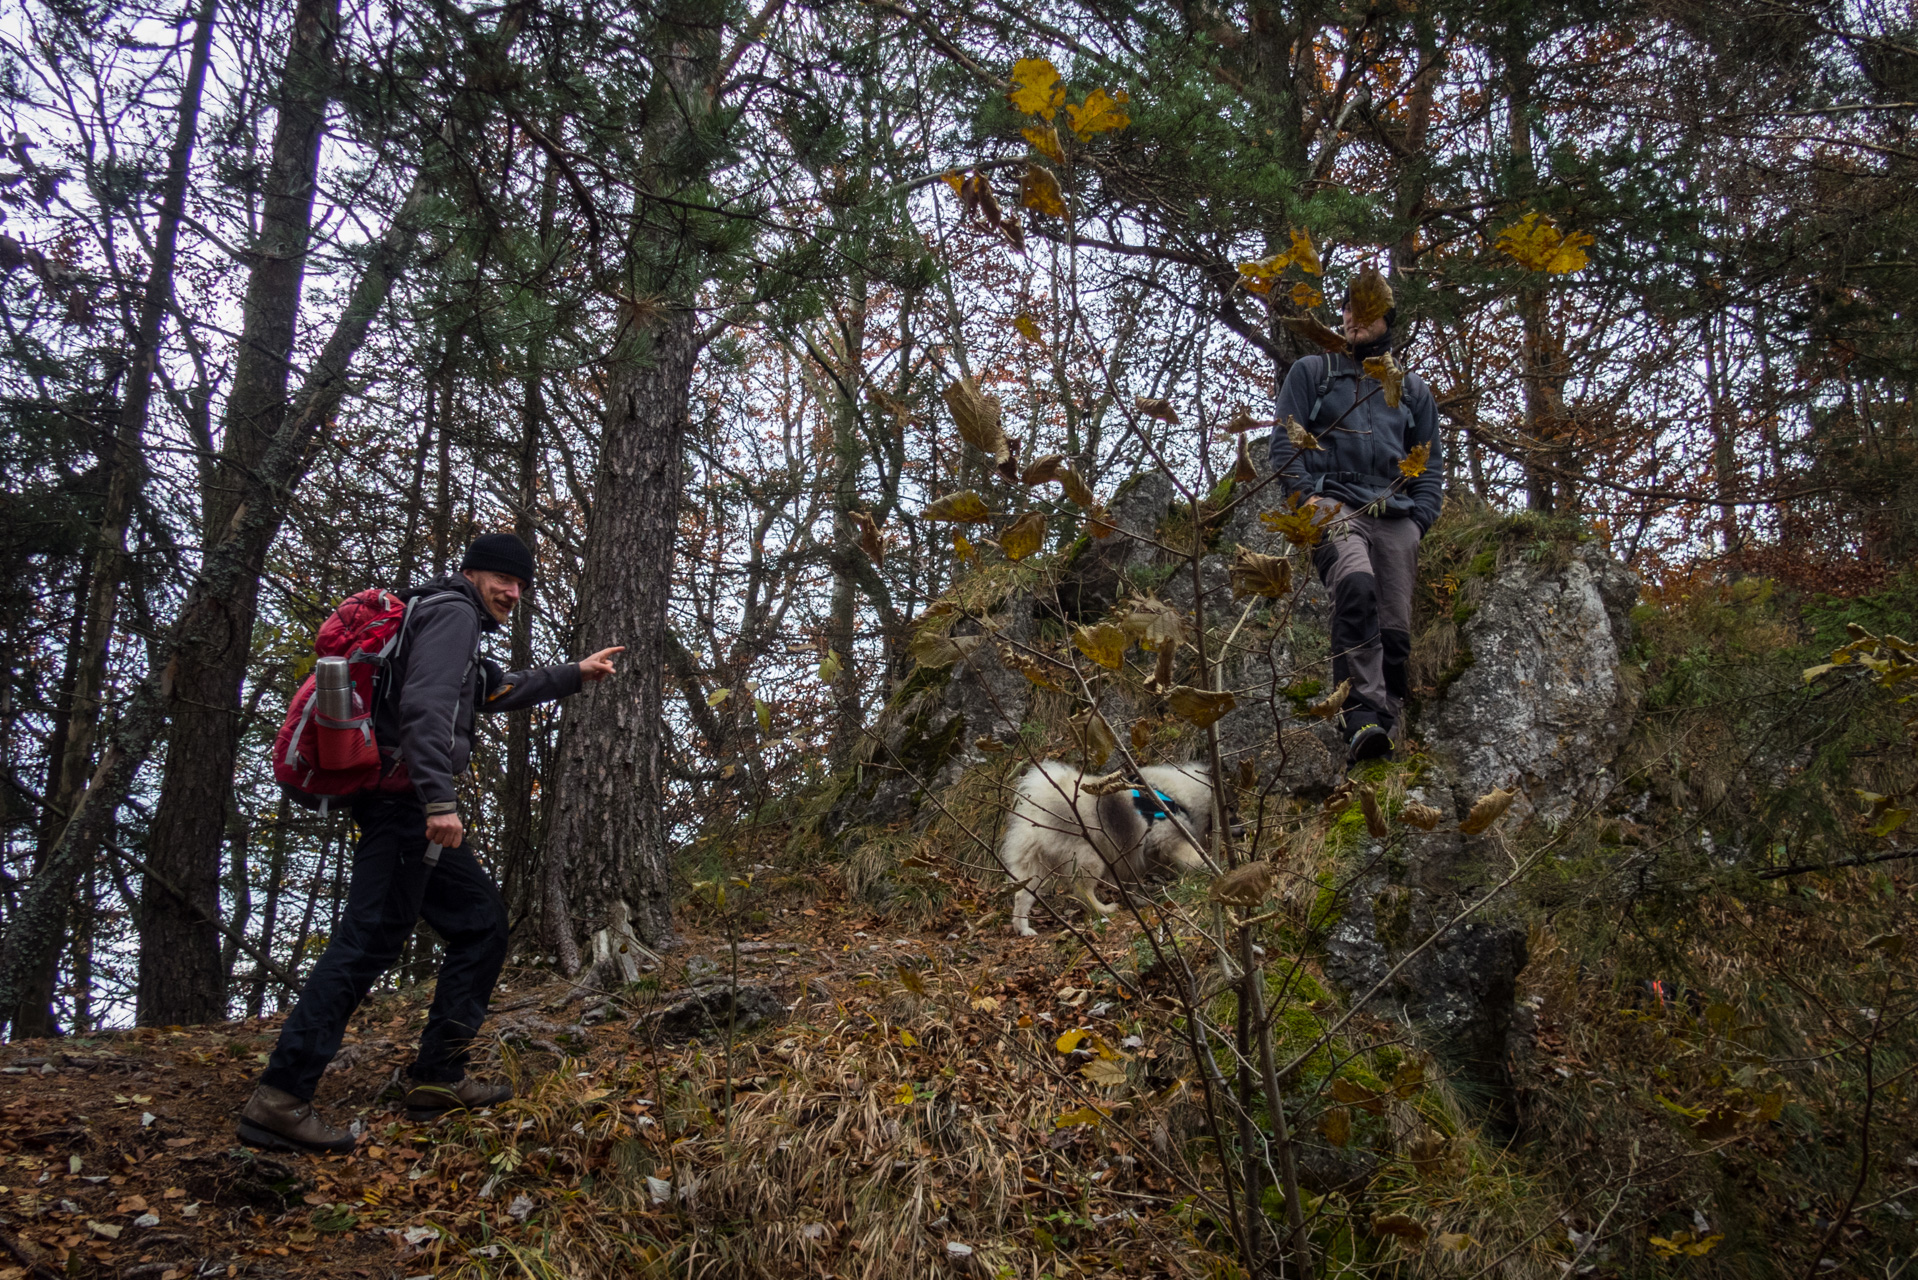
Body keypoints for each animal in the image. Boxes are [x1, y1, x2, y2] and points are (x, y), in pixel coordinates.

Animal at [1005, 767, 1212, 936]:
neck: (1174, 796)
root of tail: (1039, 814)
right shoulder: (1170, 840)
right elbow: (1192, 858)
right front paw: (1207, 867)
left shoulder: (1130, 859)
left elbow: (1131, 884)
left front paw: (1138, 899)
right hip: (1091, 858)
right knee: (1083, 891)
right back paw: (1104, 909)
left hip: (1036, 868)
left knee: (1022, 895)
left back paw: (1022, 928)